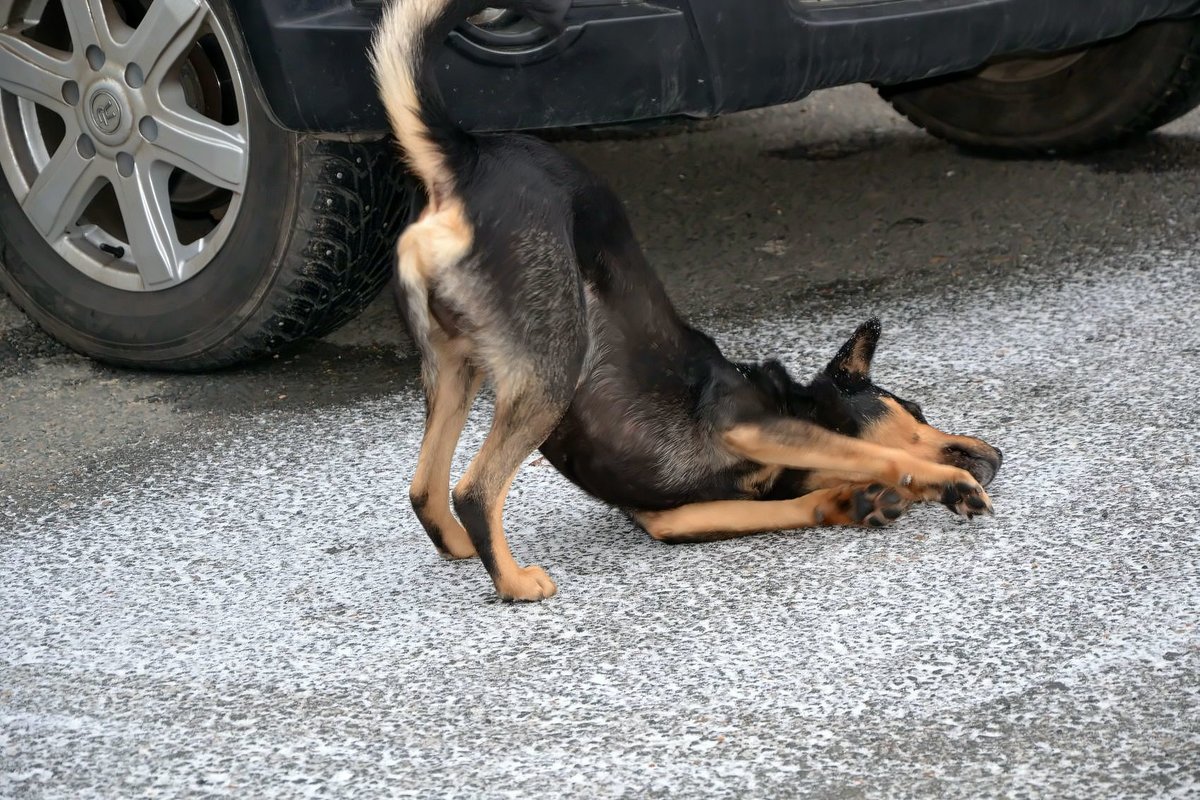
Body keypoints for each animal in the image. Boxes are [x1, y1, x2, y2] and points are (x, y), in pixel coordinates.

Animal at [367, 0, 1003, 599]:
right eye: (915, 411)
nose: (996, 455)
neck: (791, 409)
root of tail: (468, 157)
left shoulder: (670, 519)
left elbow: (800, 502)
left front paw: (852, 502)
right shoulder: (752, 426)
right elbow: (881, 455)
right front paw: (943, 483)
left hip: (455, 367)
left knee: (425, 489)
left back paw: (460, 547)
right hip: (551, 366)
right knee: (474, 491)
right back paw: (514, 582)